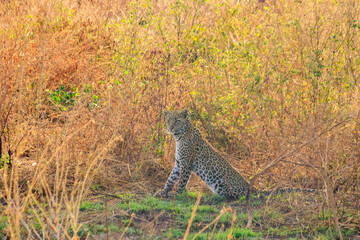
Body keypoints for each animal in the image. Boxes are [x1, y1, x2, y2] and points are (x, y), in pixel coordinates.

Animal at [158, 109, 316, 200]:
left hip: (222, 183)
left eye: (177, 120)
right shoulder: (178, 163)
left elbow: (182, 181)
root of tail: (251, 187)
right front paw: (163, 191)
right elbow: (170, 178)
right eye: (168, 120)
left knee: (237, 195)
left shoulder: (186, 163)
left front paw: (177, 194)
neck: (179, 137)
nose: (170, 128)